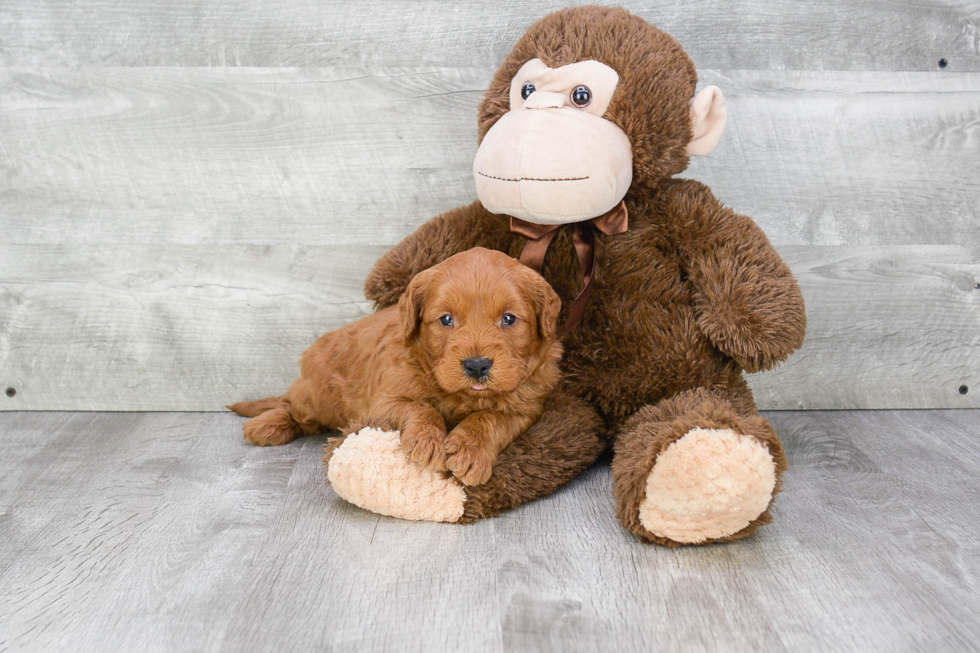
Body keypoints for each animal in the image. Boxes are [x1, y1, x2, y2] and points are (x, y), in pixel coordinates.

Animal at [230, 247, 564, 486]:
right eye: (446, 320)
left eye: (509, 318)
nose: (477, 366)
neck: (460, 396)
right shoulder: (381, 402)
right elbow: (420, 406)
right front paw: (428, 439)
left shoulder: (526, 407)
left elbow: (490, 418)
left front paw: (470, 450)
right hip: (319, 396)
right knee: (291, 405)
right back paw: (267, 425)